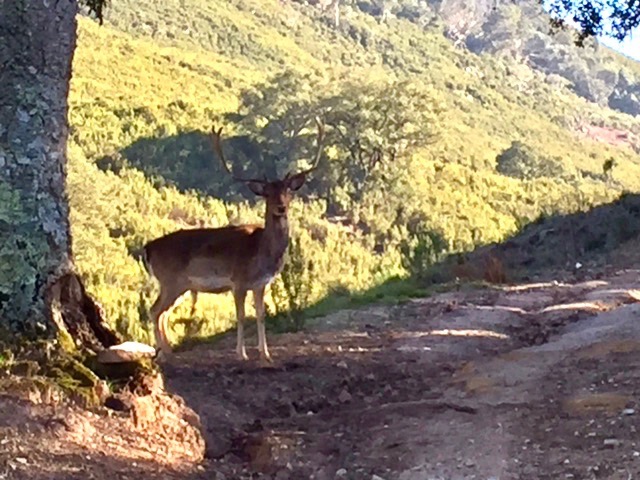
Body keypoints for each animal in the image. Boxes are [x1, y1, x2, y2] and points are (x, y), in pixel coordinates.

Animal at [143, 119, 328, 360]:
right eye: (267, 193)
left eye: (288, 191)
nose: (281, 207)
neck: (262, 253)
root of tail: (148, 248)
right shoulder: (238, 281)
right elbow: (240, 317)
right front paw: (242, 354)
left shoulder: (261, 284)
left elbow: (260, 316)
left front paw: (265, 353)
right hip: (171, 280)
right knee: (155, 310)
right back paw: (164, 354)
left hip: (178, 285)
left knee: (163, 313)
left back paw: (168, 351)